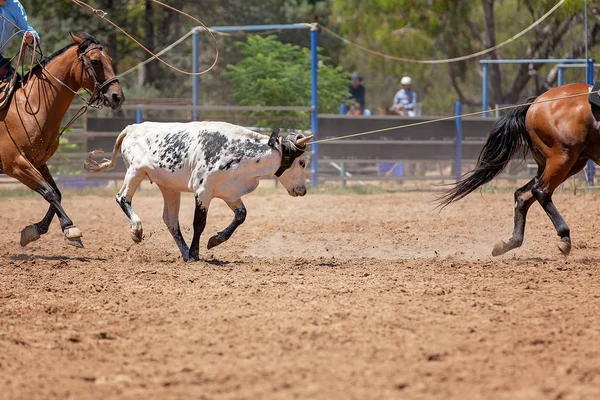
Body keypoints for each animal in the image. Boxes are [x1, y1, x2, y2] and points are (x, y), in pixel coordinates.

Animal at [1, 32, 124, 248]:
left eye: (109, 59)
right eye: (95, 61)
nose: (117, 96)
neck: (29, 107)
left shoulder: (38, 162)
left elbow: (55, 192)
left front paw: (36, 229)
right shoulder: (15, 164)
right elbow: (49, 192)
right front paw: (71, 228)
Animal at [438, 83, 596, 256]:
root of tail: (535, 103)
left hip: (566, 163)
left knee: (524, 195)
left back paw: (511, 242)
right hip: (563, 157)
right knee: (540, 190)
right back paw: (564, 237)